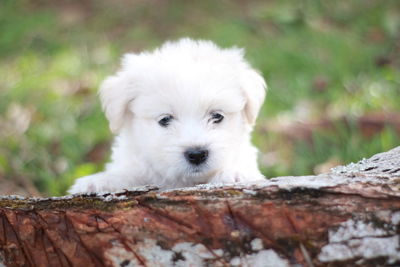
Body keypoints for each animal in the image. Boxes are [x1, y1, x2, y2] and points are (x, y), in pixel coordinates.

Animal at [68, 38, 268, 194]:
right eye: (165, 119)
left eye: (217, 116)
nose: (197, 154)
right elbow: (126, 175)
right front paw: (97, 182)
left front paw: (233, 173)